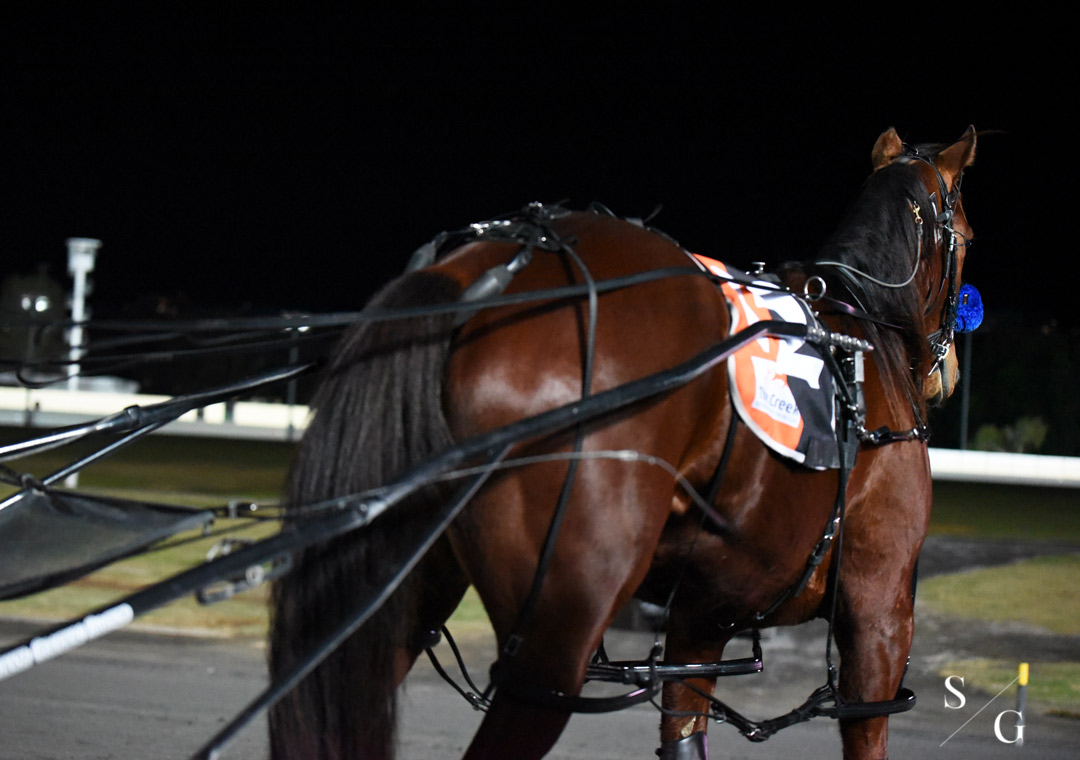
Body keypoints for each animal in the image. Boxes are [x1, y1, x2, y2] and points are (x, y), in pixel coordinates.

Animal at [268, 126, 977, 759]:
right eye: (967, 239)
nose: (947, 373)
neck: (862, 335)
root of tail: (478, 274)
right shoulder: (880, 611)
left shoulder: (702, 619)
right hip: (558, 640)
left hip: (408, 589)